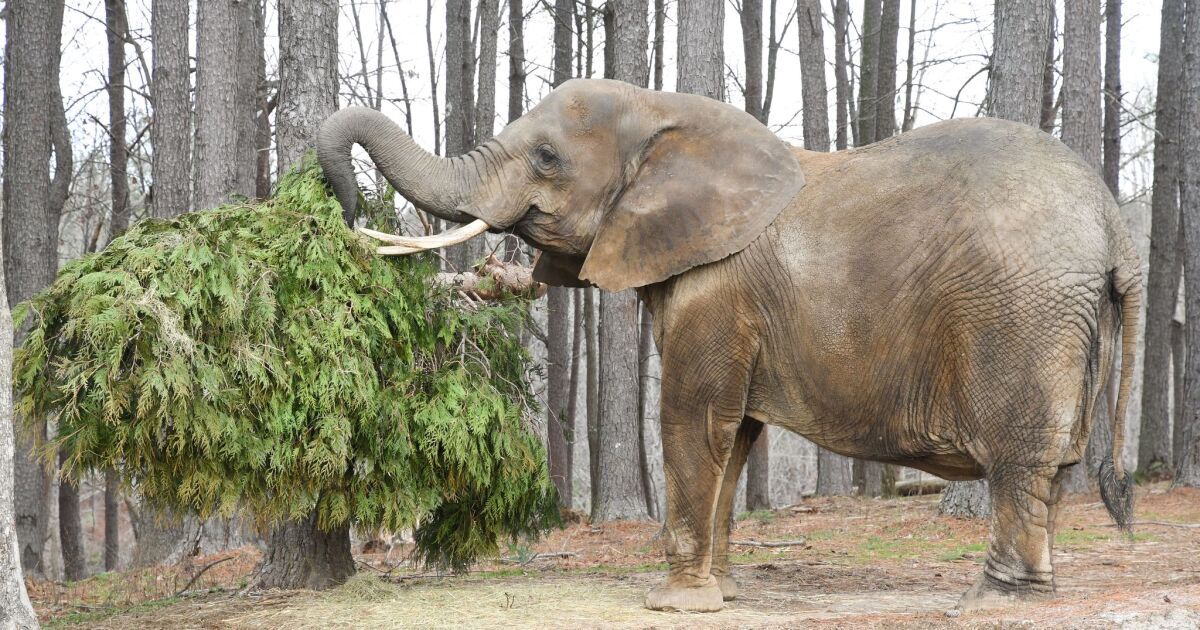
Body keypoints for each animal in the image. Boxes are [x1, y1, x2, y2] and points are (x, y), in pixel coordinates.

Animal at [316, 78, 1141, 613]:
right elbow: (736, 435)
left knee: (1020, 460)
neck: (665, 111)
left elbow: (692, 421)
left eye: (547, 158)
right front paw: (725, 592)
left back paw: (994, 603)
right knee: (1051, 464)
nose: (346, 206)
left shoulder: (716, 286)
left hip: (1024, 314)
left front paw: (675, 605)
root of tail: (1113, 221)